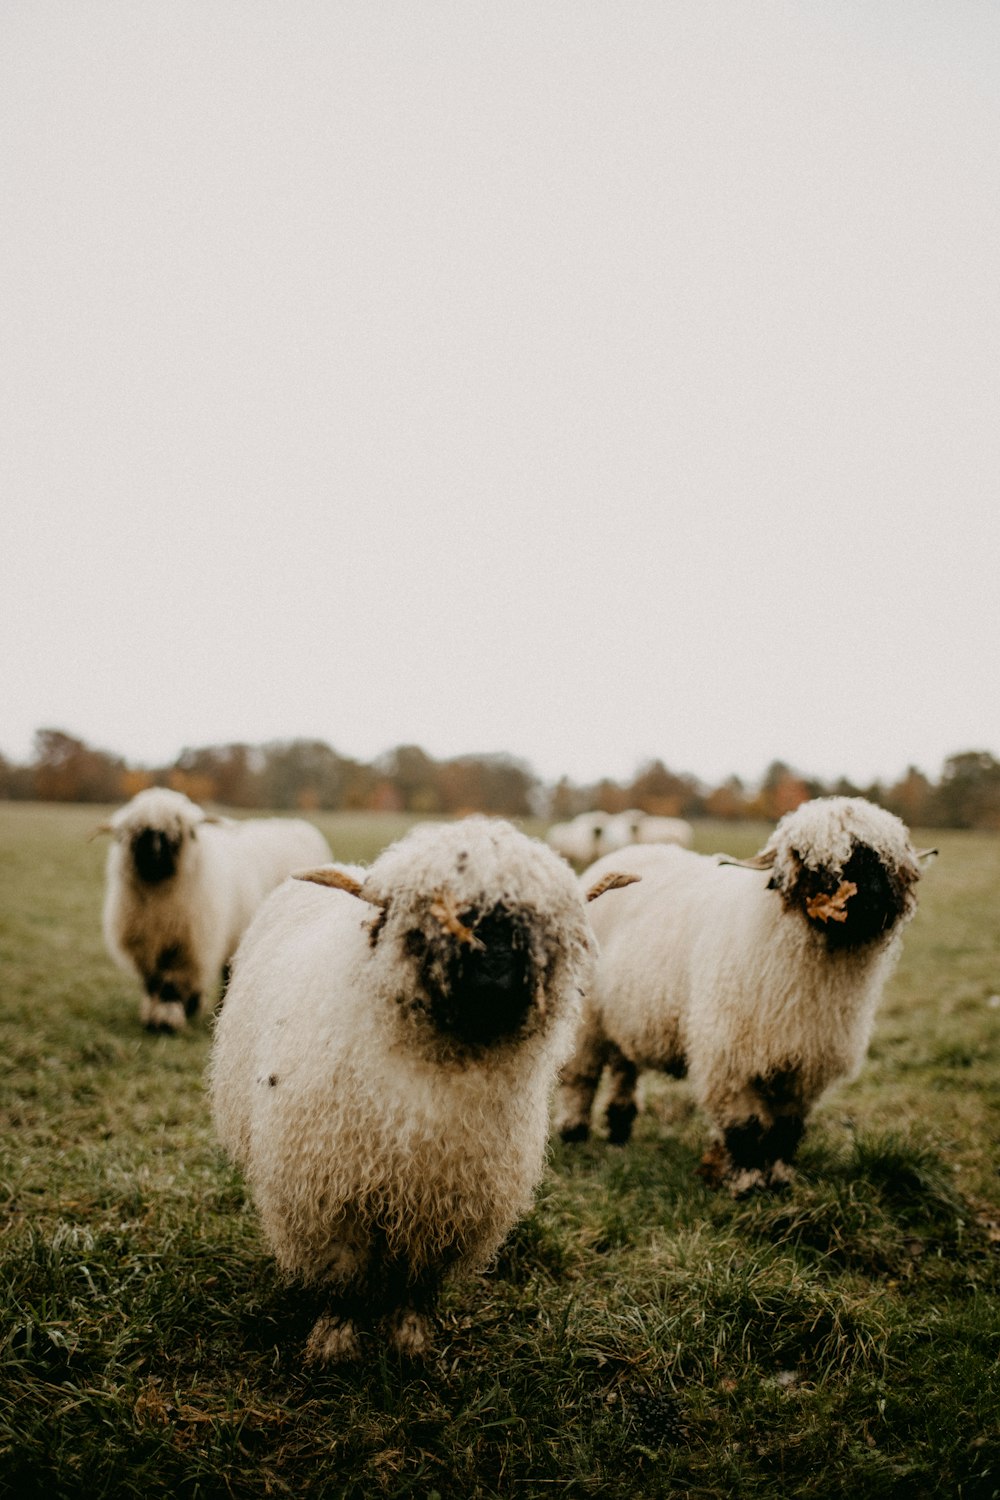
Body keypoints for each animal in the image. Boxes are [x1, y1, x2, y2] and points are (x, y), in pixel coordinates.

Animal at [100, 786, 329, 1032]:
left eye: (179, 833)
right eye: (136, 834)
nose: (154, 854)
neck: (159, 898)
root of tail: (297, 824)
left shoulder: (186, 945)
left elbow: (170, 983)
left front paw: (167, 1020)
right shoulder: (146, 945)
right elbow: (154, 982)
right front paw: (155, 1016)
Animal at [208, 816, 638, 1368]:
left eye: (534, 925)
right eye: (435, 921)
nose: (495, 967)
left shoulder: (447, 1202)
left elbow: (416, 1283)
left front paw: (410, 1343)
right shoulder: (332, 1197)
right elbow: (343, 1279)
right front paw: (335, 1345)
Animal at [554, 798, 929, 1194]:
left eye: (883, 855)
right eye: (801, 855)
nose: (865, 896)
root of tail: (622, 853)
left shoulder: (804, 1063)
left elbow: (786, 1128)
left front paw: (778, 1178)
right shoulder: (729, 1056)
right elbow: (744, 1126)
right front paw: (747, 1181)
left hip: (627, 1014)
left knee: (625, 1069)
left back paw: (620, 1131)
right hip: (587, 1019)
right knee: (581, 1078)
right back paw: (574, 1134)